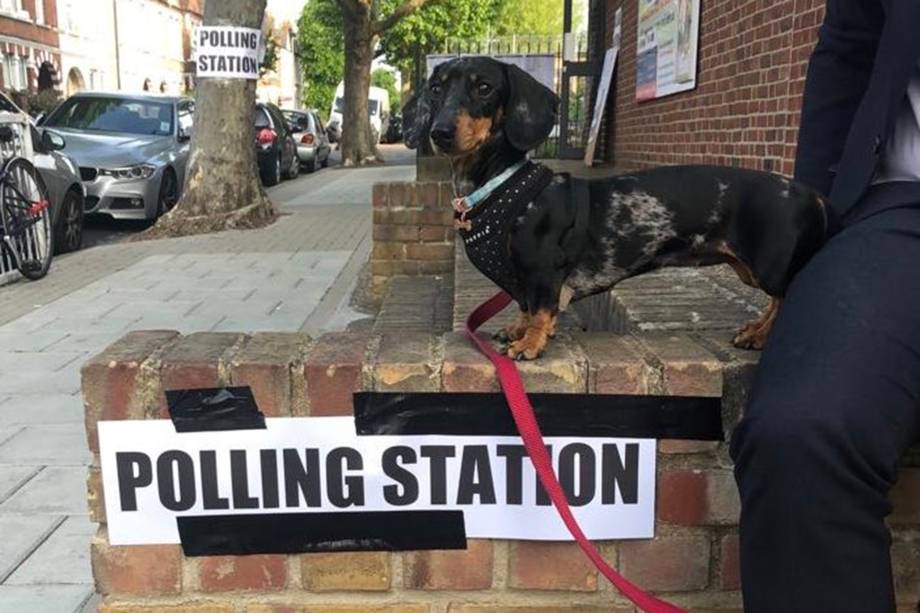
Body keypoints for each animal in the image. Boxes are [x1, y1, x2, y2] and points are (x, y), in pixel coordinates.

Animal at [406, 56, 832, 358]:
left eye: (484, 87)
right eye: (436, 89)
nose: (440, 133)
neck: (501, 183)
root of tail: (811, 192)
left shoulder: (543, 271)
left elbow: (541, 309)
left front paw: (530, 344)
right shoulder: (524, 279)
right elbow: (525, 306)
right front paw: (518, 329)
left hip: (770, 268)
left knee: (785, 298)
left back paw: (760, 334)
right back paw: (754, 333)